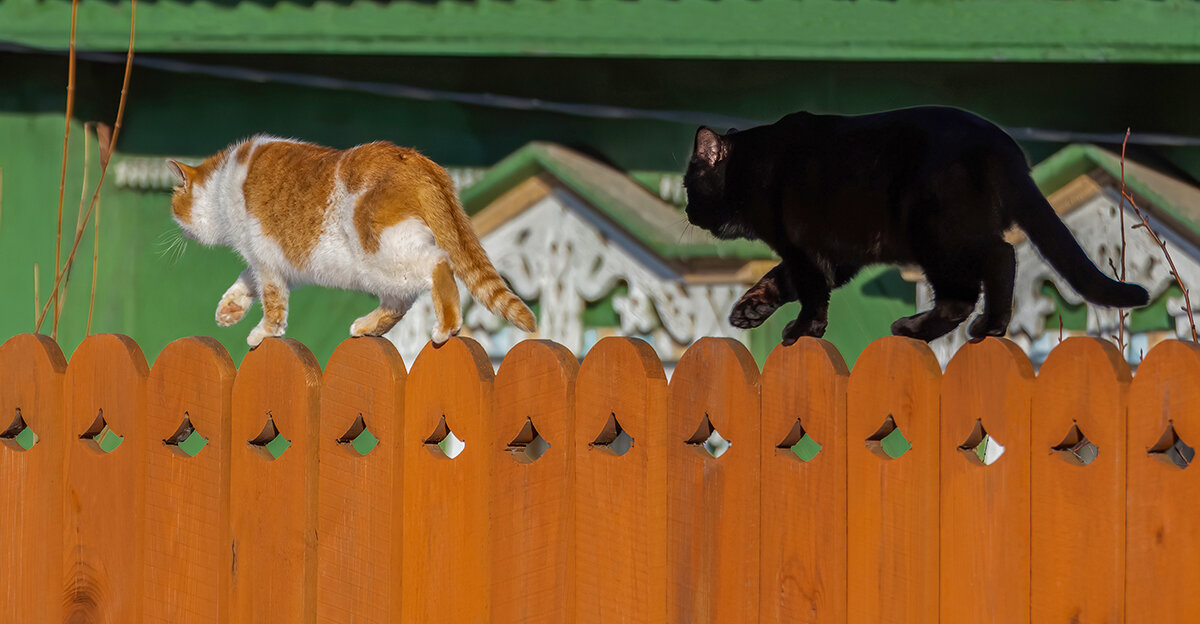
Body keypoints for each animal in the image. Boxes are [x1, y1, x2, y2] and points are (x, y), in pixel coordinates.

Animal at [165, 137, 535, 348]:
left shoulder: (266, 260)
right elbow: (246, 280)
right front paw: (230, 308)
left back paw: (445, 327)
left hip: (383, 253)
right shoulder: (282, 265)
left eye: (175, 204)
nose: (178, 228)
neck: (222, 184)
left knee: (438, 264)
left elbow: (272, 302)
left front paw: (265, 332)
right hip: (381, 268)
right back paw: (369, 326)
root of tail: (417, 160)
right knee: (399, 301)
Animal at [681, 105, 1147, 343]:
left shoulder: (805, 249)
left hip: (935, 236)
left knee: (967, 289)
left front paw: (801, 330)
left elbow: (809, 293)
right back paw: (991, 326)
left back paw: (915, 329)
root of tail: (1000, 143)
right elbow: (780, 279)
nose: (687, 211)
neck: (761, 163)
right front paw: (750, 309)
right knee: (1003, 257)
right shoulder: (836, 256)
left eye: (689, 184)